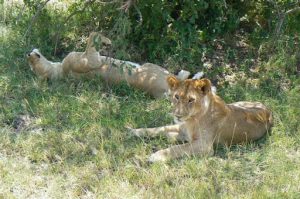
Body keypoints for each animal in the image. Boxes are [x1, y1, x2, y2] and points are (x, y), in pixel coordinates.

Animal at [130, 76, 274, 162]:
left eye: (191, 100)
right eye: (177, 96)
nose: (177, 115)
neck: (191, 120)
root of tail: (268, 109)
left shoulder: (205, 146)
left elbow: (178, 148)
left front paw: (156, 156)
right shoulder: (182, 129)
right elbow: (159, 129)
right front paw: (134, 131)